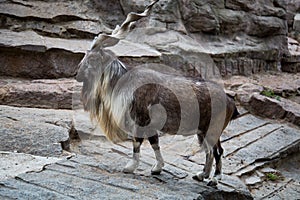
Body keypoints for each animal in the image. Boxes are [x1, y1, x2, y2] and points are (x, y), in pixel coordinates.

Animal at [76, 0, 240, 185]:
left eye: (92, 58)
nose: (77, 74)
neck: (123, 83)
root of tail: (230, 101)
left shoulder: (141, 120)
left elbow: (137, 143)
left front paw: (130, 167)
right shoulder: (151, 126)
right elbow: (155, 143)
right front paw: (157, 168)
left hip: (213, 129)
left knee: (216, 151)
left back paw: (214, 179)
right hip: (203, 131)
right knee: (210, 151)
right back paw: (201, 175)